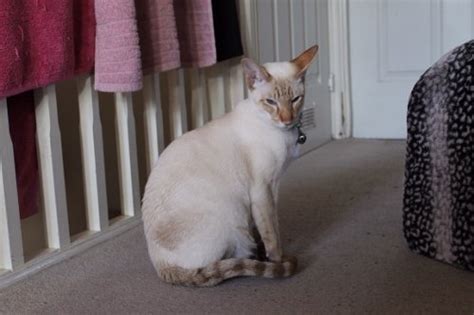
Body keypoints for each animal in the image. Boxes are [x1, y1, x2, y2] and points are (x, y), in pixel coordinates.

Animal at [141, 44, 318, 286]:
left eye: (295, 99)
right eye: (270, 102)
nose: (287, 119)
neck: (283, 134)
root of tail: (160, 265)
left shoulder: (274, 186)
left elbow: (265, 228)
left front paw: (269, 257)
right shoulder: (262, 190)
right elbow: (272, 233)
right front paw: (277, 261)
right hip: (234, 220)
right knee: (218, 267)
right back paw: (249, 259)